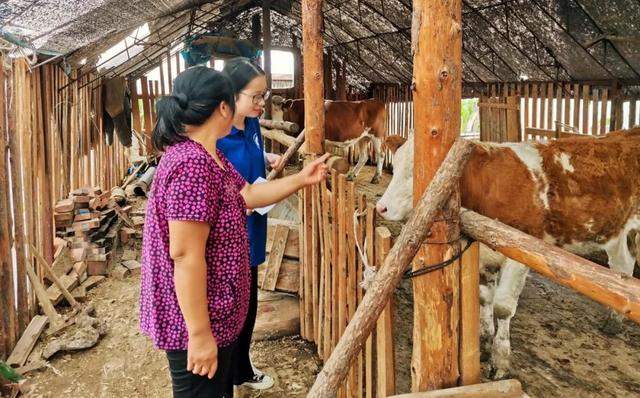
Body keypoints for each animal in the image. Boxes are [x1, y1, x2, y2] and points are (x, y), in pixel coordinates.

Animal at [376, 130, 640, 380]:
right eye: (395, 165)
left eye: (419, 173)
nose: (381, 207)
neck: (489, 187)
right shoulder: (485, 254)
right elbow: (484, 298)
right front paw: (483, 345)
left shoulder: (520, 253)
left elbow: (502, 307)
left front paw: (500, 361)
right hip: (616, 233)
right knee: (622, 266)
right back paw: (613, 321)